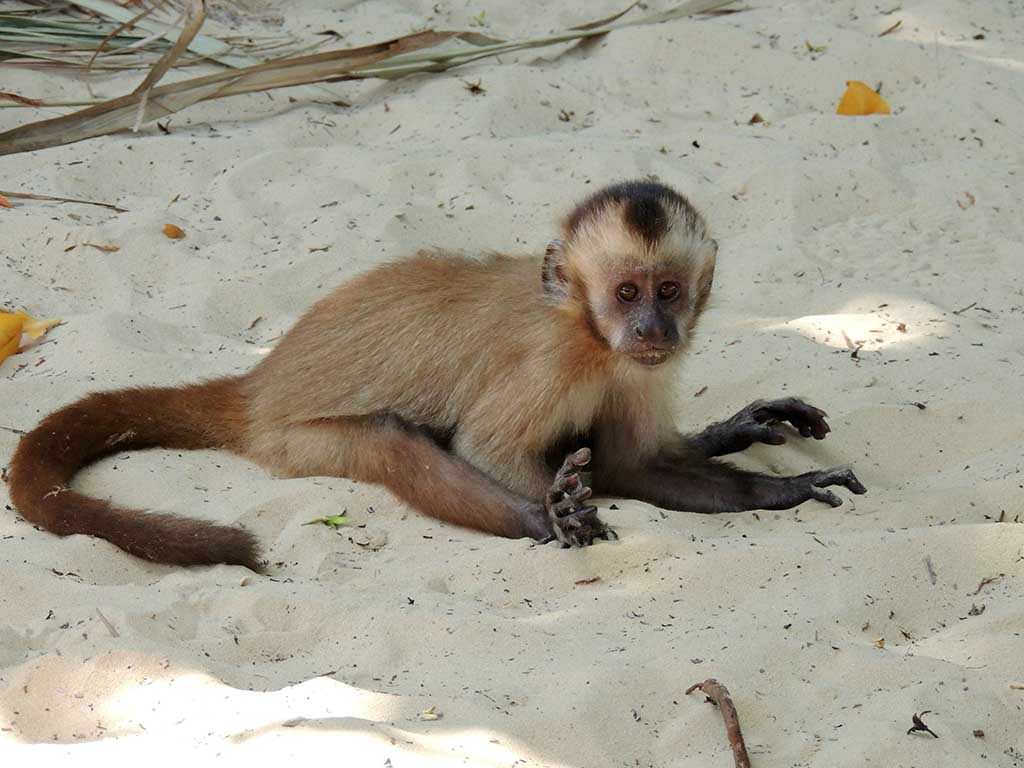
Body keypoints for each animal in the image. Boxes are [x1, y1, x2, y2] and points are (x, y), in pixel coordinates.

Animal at [8, 182, 864, 573]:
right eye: (626, 292)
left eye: (669, 291)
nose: (653, 329)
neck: (589, 334)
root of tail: (261, 383)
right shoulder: (552, 359)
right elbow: (491, 450)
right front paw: (552, 508)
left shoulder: (635, 369)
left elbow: (634, 462)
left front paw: (773, 482)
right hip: (293, 439)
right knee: (392, 446)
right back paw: (537, 520)